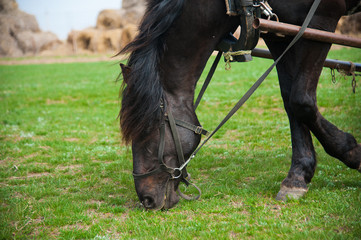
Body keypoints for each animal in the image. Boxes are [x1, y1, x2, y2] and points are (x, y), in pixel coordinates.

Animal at [119, 0, 360, 210]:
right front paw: (298, 176)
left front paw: (351, 151)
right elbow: (290, 99)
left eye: (147, 132)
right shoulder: (279, 33)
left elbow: (301, 100)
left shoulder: (320, 20)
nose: (146, 199)